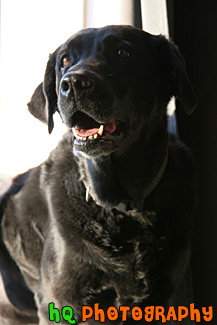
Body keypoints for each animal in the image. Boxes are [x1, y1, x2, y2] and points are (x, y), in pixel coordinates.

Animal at [0, 24, 197, 322]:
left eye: (123, 52)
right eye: (65, 60)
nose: (72, 84)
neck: (122, 206)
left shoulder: (162, 294)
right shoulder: (59, 301)